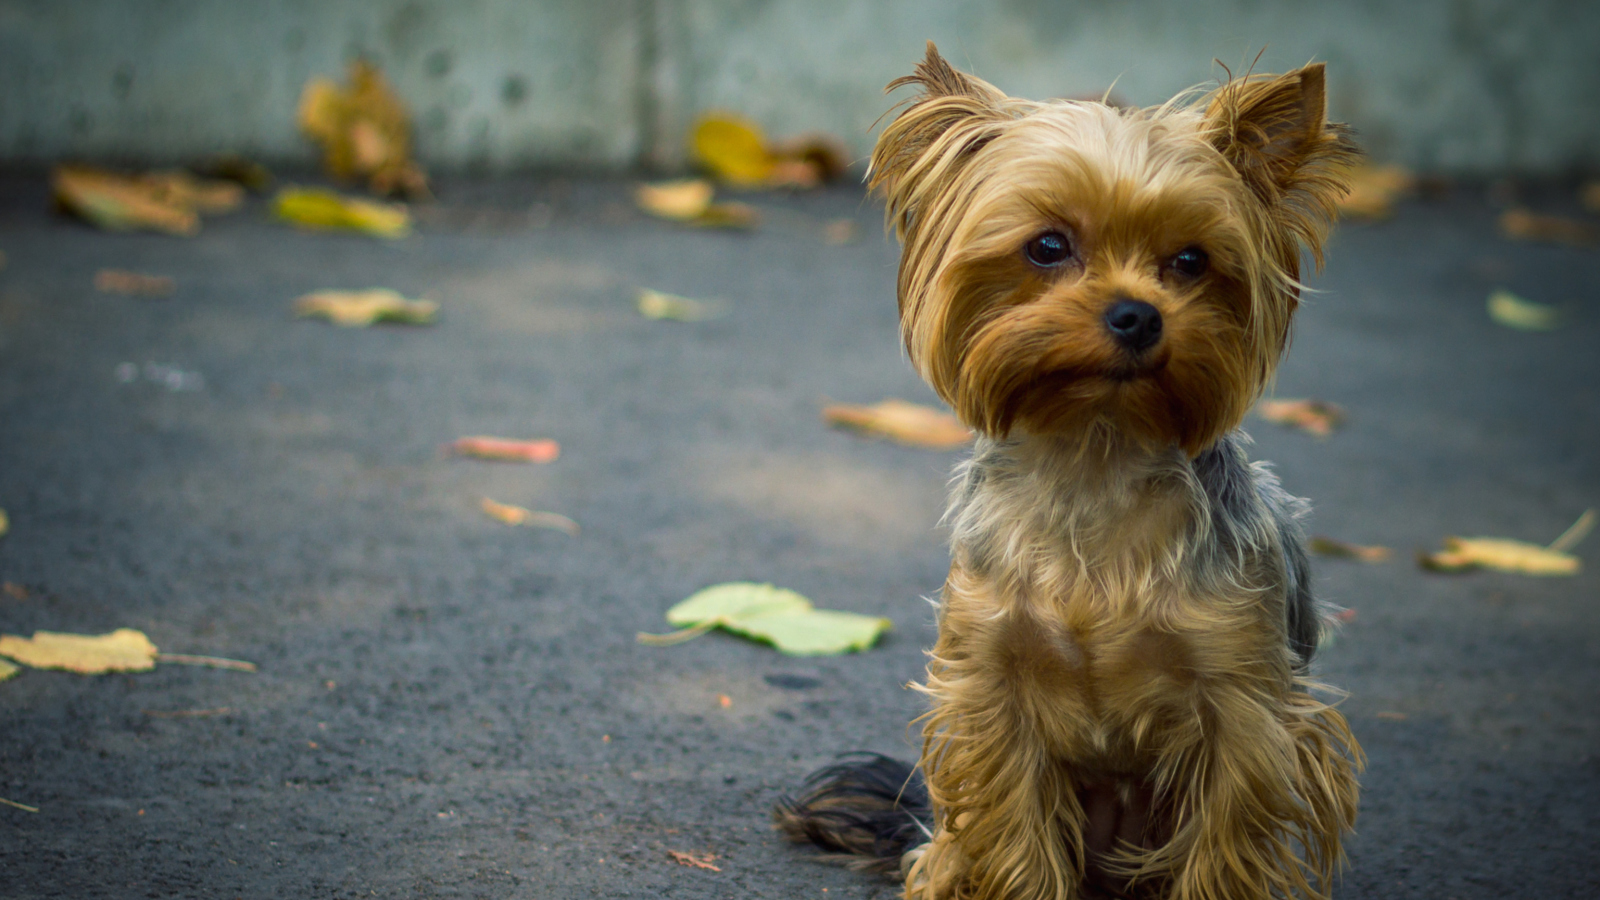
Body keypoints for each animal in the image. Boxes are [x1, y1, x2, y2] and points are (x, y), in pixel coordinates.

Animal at [774, 43, 1363, 896]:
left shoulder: (1247, 706)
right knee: (948, 848)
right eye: (1048, 246)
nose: (1137, 315)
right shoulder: (992, 694)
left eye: (1191, 261)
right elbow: (1014, 838)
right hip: (953, 828)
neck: (1095, 456)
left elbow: (1225, 840)